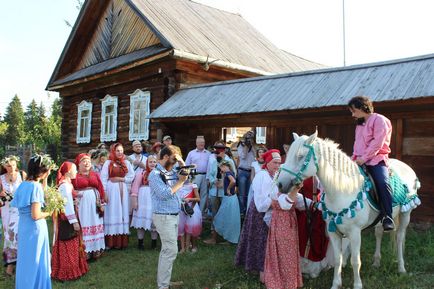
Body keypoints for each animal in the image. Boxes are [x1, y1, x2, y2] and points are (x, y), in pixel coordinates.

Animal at [274, 131, 420, 288]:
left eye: (300, 156)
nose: (280, 184)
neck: (343, 189)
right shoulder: (333, 232)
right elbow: (338, 259)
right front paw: (336, 285)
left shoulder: (355, 233)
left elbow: (355, 261)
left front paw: (357, 285)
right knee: (379, 233)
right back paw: (376, 262)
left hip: (406, 214)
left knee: (399, 237)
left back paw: (401, 268)